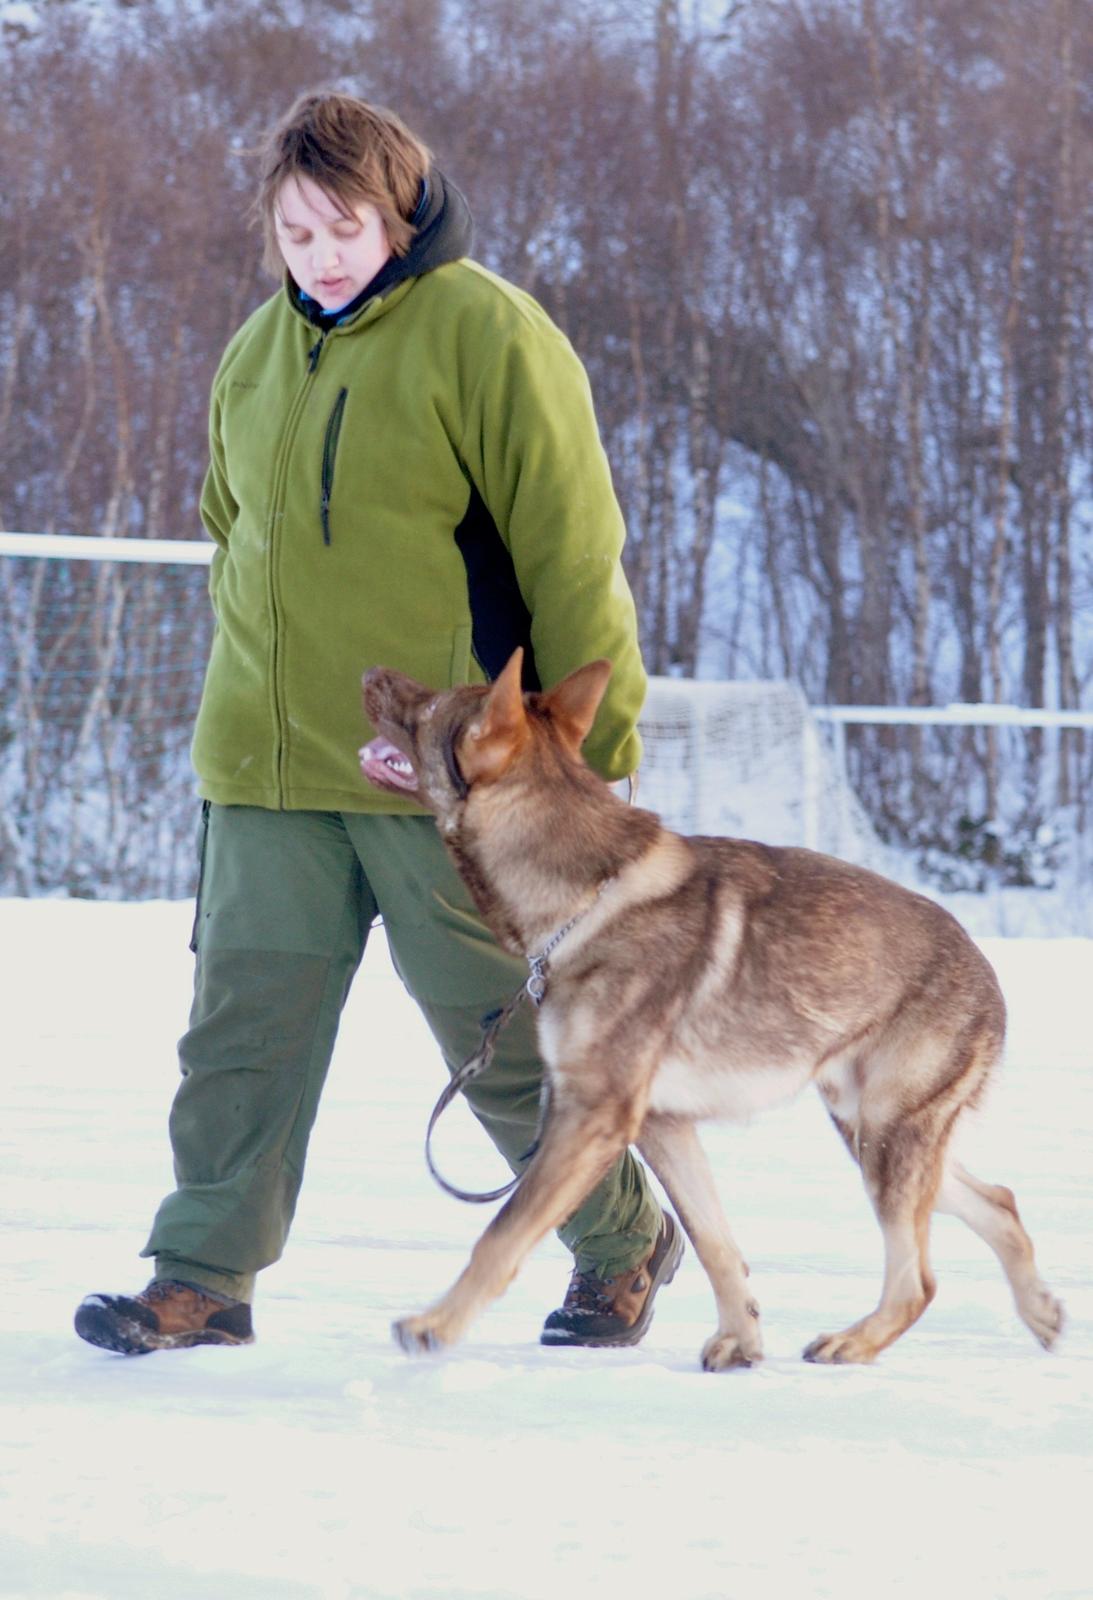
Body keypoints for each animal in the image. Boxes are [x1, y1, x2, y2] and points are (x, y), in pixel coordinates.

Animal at [363, 643, 1062, 1369]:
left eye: (430, 705)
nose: (369, 674)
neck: (582, 898)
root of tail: (981, 965)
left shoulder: (591, 1121)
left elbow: (501, 1234)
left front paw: (436, 1325)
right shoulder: (661, 1126)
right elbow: (715, 1243)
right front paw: (741, 1339)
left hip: (885, 1140)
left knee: (916, 1280)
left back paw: (854, 1341)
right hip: (871, 1134)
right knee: (999, 1203)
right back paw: (1039, 1312)